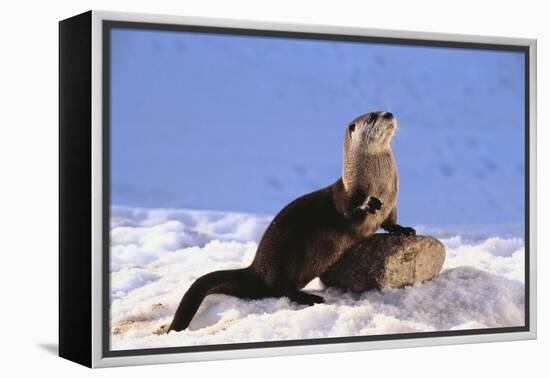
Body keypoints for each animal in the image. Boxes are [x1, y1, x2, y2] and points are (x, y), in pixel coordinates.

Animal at [168, 111, 414, 330]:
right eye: (372, 116)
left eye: (382, 110)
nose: (389, 114)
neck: (379, 184)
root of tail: (257, 268)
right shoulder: (346, 198)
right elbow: (349, 212)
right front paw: (368, 204)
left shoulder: (392, 204)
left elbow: (390, 221)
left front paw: (403, 229)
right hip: (287, 253)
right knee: (281, 289)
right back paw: (309, 298)